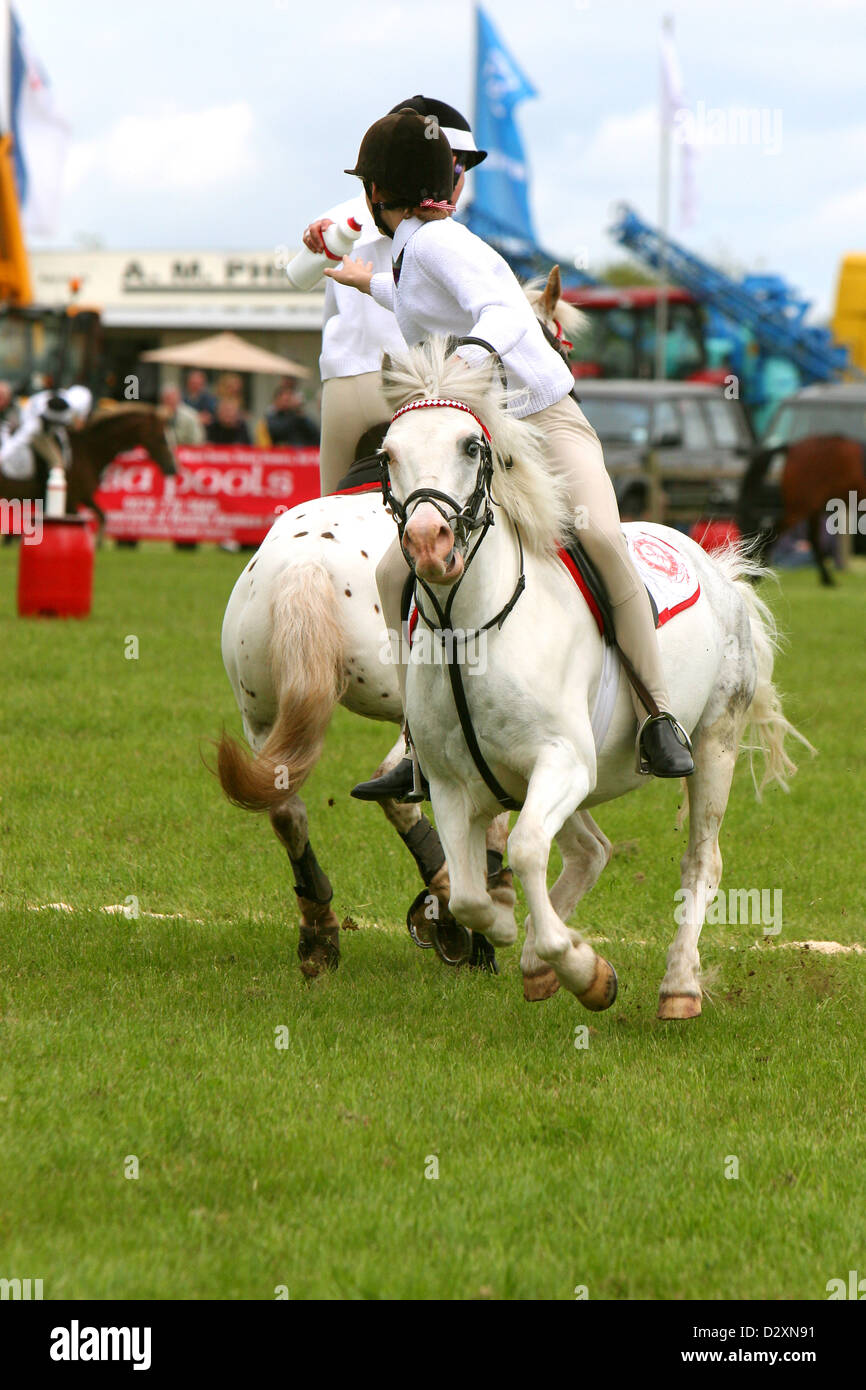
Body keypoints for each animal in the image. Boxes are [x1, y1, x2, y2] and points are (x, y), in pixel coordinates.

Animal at [369, 339, 811, 1023]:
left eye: (471, 446)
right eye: (389, 454)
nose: (428, 544)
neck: (472, 631)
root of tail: (719, 570)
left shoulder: (562, 761)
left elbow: (525, 848)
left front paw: (582, 969)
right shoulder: (450, 784)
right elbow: (468, 892)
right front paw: (509, 927)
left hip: (713, 743)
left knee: (700, 860)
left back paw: (677, 987)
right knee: (590, 850)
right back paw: (534, 961)